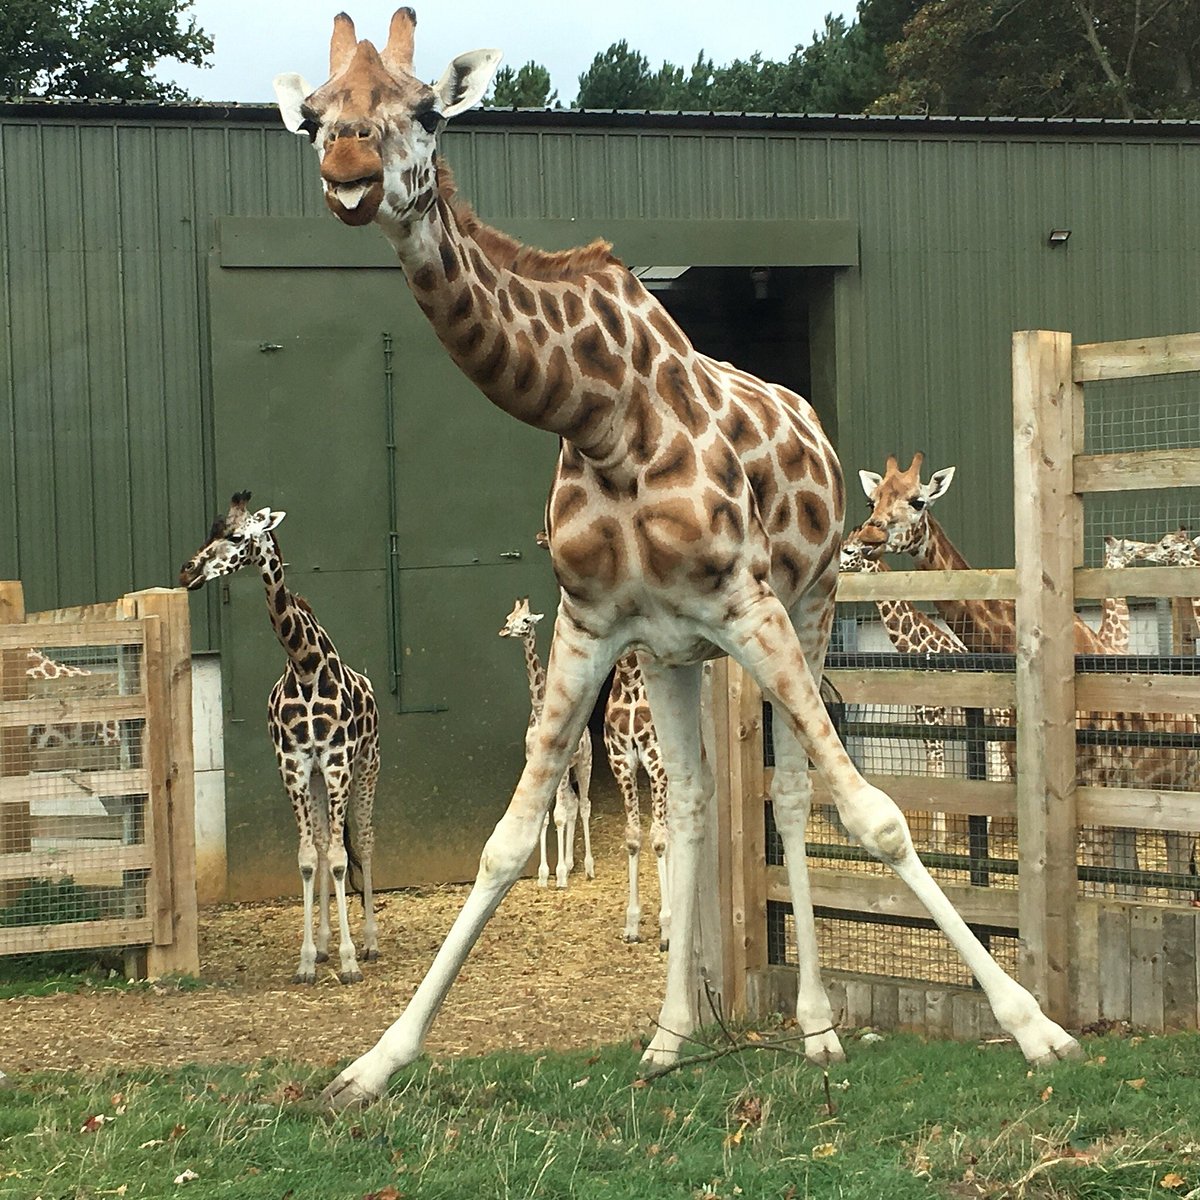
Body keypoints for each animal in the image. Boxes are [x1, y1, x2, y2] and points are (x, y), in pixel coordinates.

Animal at [178, 489, 379, 984]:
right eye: (210, 531)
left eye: (236, 537)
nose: (186, 572)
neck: (305, 665)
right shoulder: (294, 765)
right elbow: (310, 857)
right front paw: (309, 959)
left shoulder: (339, 761)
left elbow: (342, 858)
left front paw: (349, 961)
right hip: (319, 779)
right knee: (326, 843)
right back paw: (325, 944)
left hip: (368, 764)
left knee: (363, 839)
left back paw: (369, 943)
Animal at [496, 595, 595, 888]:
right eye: (509, 618)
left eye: (527, 620)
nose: (506, 631)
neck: (540, 712)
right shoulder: (533, 764)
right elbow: (543, 819)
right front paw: (543, 874)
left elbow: (559, 815)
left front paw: (559, 875)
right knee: (572, 802)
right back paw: (571, 863)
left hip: (584, 763)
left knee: (583, 804)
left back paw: (587, 867)